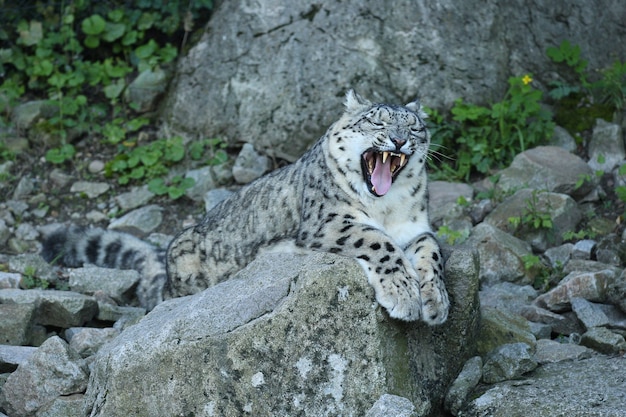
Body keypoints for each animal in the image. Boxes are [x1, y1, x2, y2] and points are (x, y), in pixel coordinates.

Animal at [41, 90, 446, 324]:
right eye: (377, 121)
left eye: (414, 127)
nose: (399, 140)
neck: (386, 208)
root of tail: (168, 265)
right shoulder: (328, 221)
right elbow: (378, 241)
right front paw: (404, 296)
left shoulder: (416, 228)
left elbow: (432, 252)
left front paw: (436, 302)